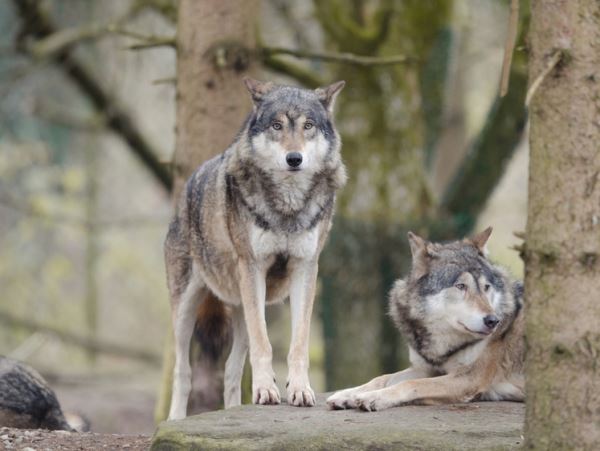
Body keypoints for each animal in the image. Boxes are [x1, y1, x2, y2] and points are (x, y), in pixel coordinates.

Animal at [165, 77, 346, 420]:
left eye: (308, 125)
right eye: (277, 125)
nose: (294, 158)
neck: (287, 207)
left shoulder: (305, 268)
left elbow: (299, 344)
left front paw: (299, 390)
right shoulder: (253, 266)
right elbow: (265, 346)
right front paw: (265, 391)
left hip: (245, 308)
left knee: (231, 372)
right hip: (186, 311)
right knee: (183, 373)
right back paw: (175, 420)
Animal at [326, 230, 524, 414]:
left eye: (486, 287)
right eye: (461, 286)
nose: (493, 320)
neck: (442, 347)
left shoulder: (468, 379)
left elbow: (412, 384)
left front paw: (373, 398)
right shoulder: (426, 369)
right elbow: (382, 378)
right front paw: (346, 394)